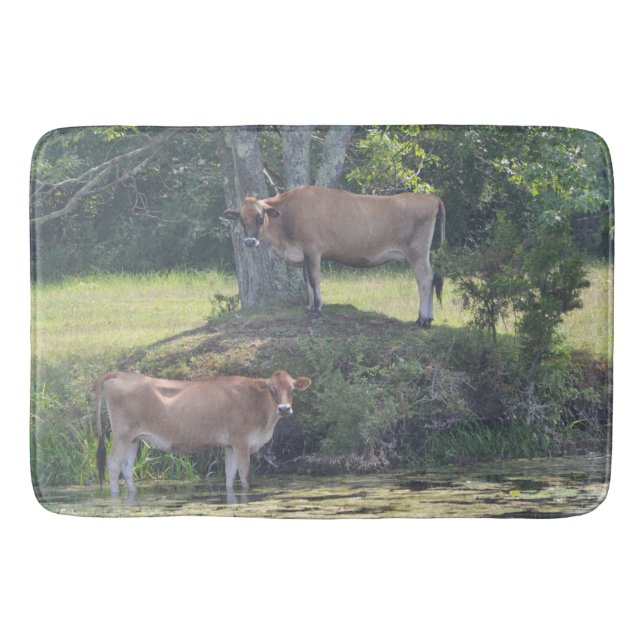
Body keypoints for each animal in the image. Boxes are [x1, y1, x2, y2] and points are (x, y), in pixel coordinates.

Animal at [95, 370, 311, 501]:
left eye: (292, 389)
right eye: (272, 390)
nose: (284, 409)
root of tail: (121, 374)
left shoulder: (229, 445)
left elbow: (229, 475)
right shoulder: (241, 442)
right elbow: (245, 476)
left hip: (134, 439)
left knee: (126, 467)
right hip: (121, 435)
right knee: (113, 465)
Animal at [224, 185, 446, 327]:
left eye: (260, 217)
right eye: (241, 219)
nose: (249, 242)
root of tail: (430, 198)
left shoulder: (313, 249)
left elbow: (315, 280)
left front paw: (317, 309)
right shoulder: (304, 255)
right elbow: (307, 280)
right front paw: (309, 305)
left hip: (417, 253)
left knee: (425, 280)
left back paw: (423, 319)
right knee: (431, 279)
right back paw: (429, 318)